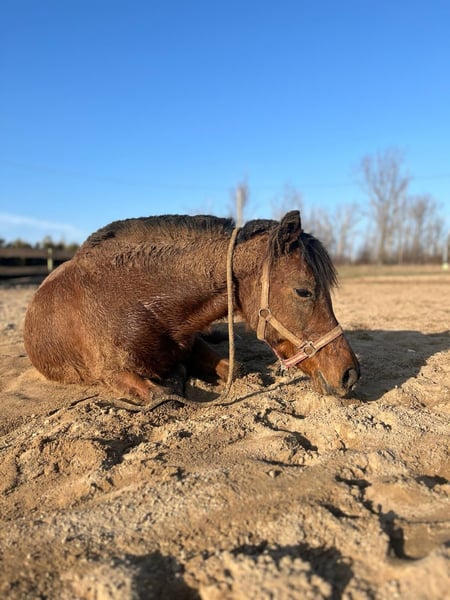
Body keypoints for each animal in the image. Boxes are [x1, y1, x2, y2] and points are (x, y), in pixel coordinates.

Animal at [23, 211, 360, 406]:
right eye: (303, 291)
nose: (350, 375)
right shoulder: (113, 374)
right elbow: (164, 395)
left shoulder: (191, 342)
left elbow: (236, 369)